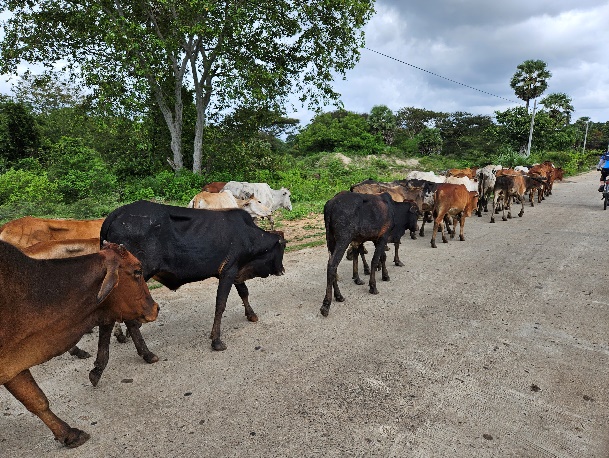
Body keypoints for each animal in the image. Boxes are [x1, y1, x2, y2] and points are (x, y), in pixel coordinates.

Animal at [94, 200, 286, 380]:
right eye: (282, 247)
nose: (282, 270)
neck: (247, 235)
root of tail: (115, 214)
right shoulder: (229, 271)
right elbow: (220, 304)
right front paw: (216, 340)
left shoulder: (235, 271)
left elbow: (243, 292)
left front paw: (251, 314)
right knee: (130, 319)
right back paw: (146, 354)